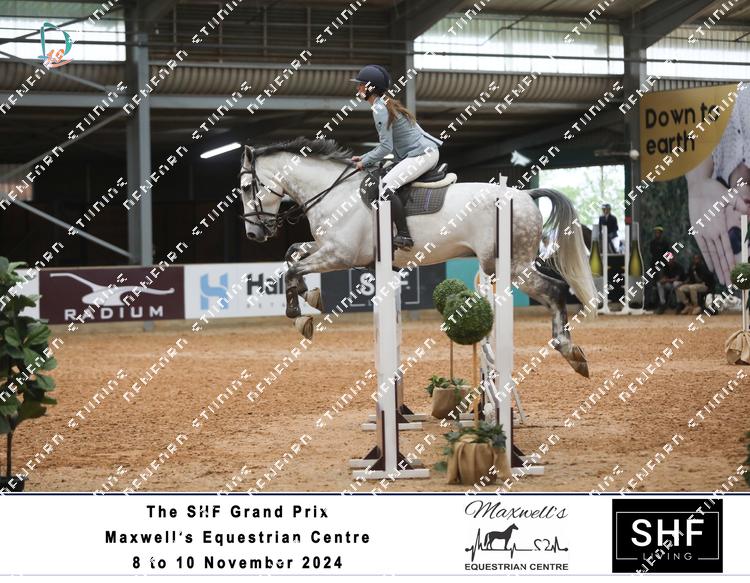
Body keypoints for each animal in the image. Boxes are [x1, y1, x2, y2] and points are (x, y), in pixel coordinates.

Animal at [238, 137, 596, 378]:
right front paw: (308, 296)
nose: (253, 234)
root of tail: (525, 195)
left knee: (555, 291)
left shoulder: (340, 254)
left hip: (513, 265)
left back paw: (571, 353)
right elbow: (292, 256)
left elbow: (292, 269)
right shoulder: (327, 248)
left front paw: (297, 313)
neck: (333, 192)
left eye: (244, 187)